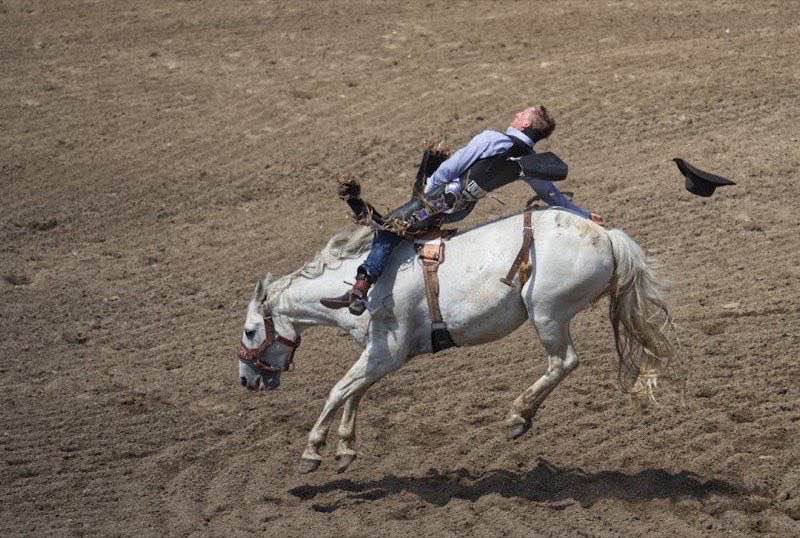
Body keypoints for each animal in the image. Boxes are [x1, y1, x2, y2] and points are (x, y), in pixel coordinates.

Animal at [236, 207, 676, 473]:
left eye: (250, 330)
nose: (245, 379)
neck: (362, 285)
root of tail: (606, 234)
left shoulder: (386, 352)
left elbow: (339, 390)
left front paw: (312, 451)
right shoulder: (379, 355)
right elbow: (356, 393)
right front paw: (345, 449)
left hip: (547, 314)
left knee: (563, 362)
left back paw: (518, 416)